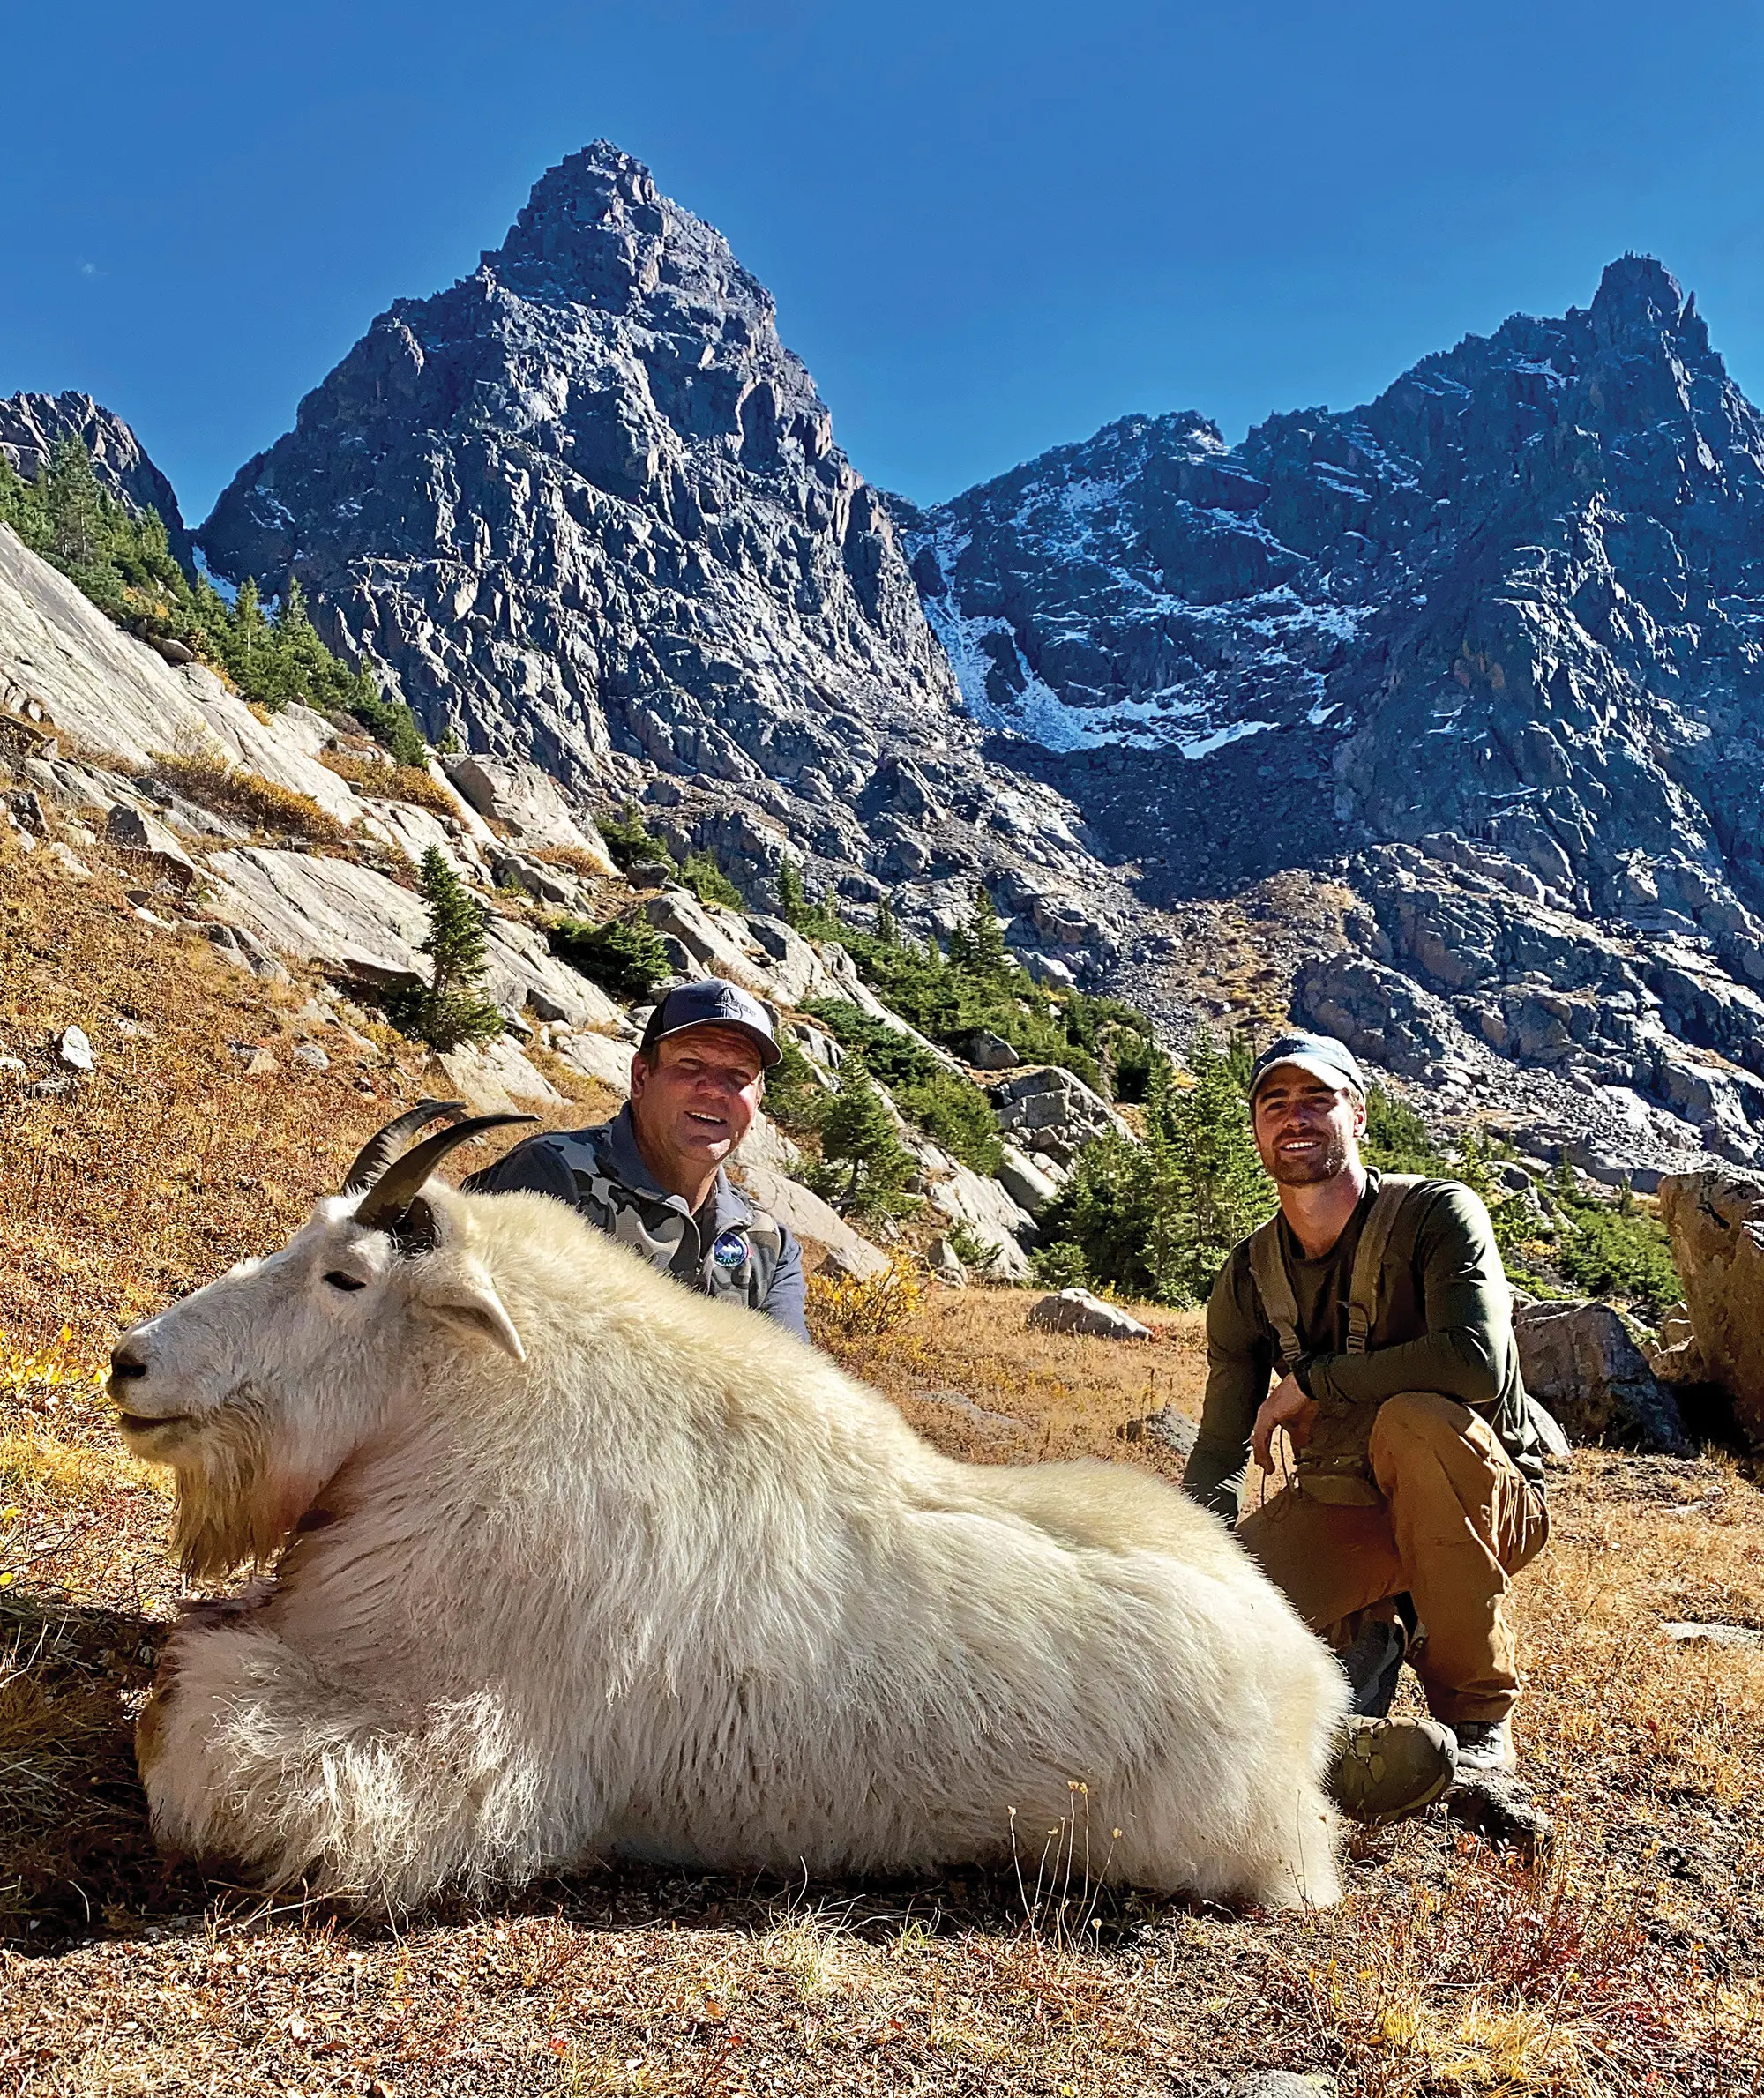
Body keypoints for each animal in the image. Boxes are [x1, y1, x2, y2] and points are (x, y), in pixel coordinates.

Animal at [116, 1108, 1342, 1913]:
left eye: (346, 1278)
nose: (132, 1363)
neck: (471, 1413)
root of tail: (1310, 1690)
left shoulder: (456, 1750)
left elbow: (190, 1736)